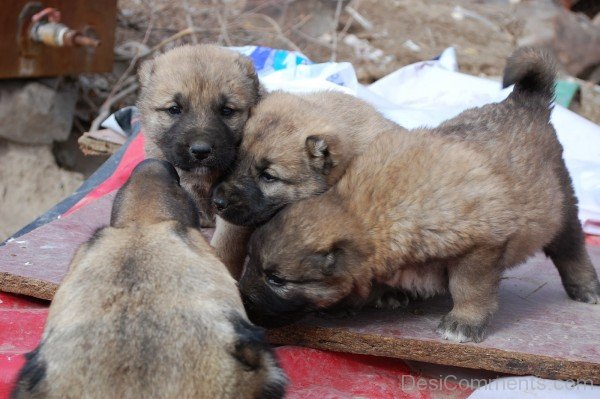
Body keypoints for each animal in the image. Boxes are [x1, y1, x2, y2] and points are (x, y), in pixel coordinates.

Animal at [239, 48, 600, 344]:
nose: (242, 300)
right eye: (251, 264)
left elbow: (469, 287)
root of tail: (525, 101)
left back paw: (585, 286)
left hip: (561, 204)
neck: (368, 211)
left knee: (571, 247)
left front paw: (464, 322)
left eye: (276, 279)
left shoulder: (482, 245)